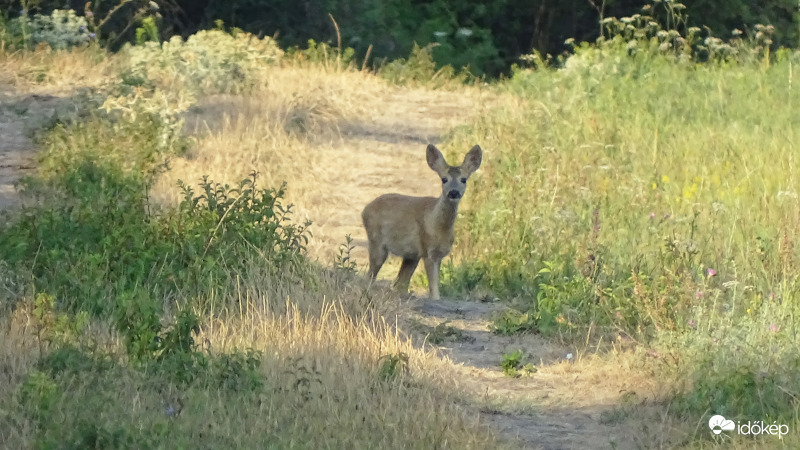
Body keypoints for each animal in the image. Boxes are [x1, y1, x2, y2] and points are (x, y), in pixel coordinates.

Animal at [360, 144, 482, 298]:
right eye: (444, 179)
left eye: (464, 179)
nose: (453, 192)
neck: (437, 226)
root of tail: (365, 210)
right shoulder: (427, 250)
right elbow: (433, 288)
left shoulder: (437, 253)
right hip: (376, 240)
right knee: (371, 274)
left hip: (410, 256)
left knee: (400, 283)